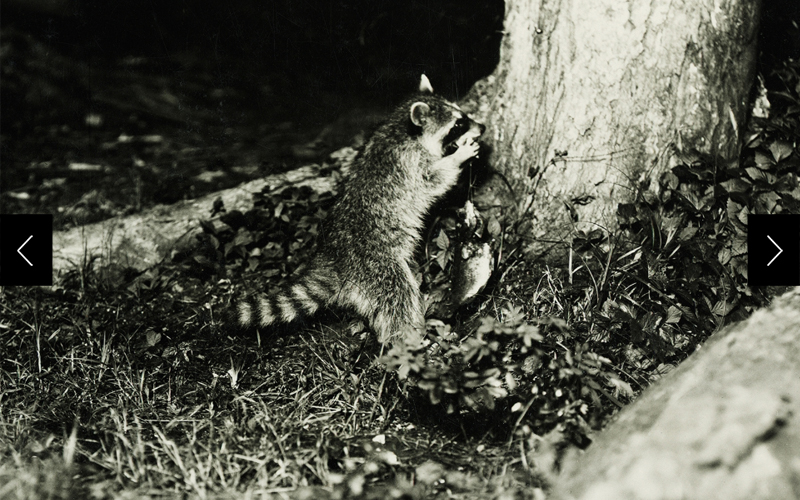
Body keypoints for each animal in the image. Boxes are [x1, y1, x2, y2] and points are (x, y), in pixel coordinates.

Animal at [238, 74, 485, 345]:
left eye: (462, 115)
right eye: (458, 123)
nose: (482, 127)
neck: (402, 128)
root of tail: (335, 263)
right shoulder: (410, 163)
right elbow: (434, 179)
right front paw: (458, 157)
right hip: (377, 265)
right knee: (397, 299)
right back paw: (408, 338)